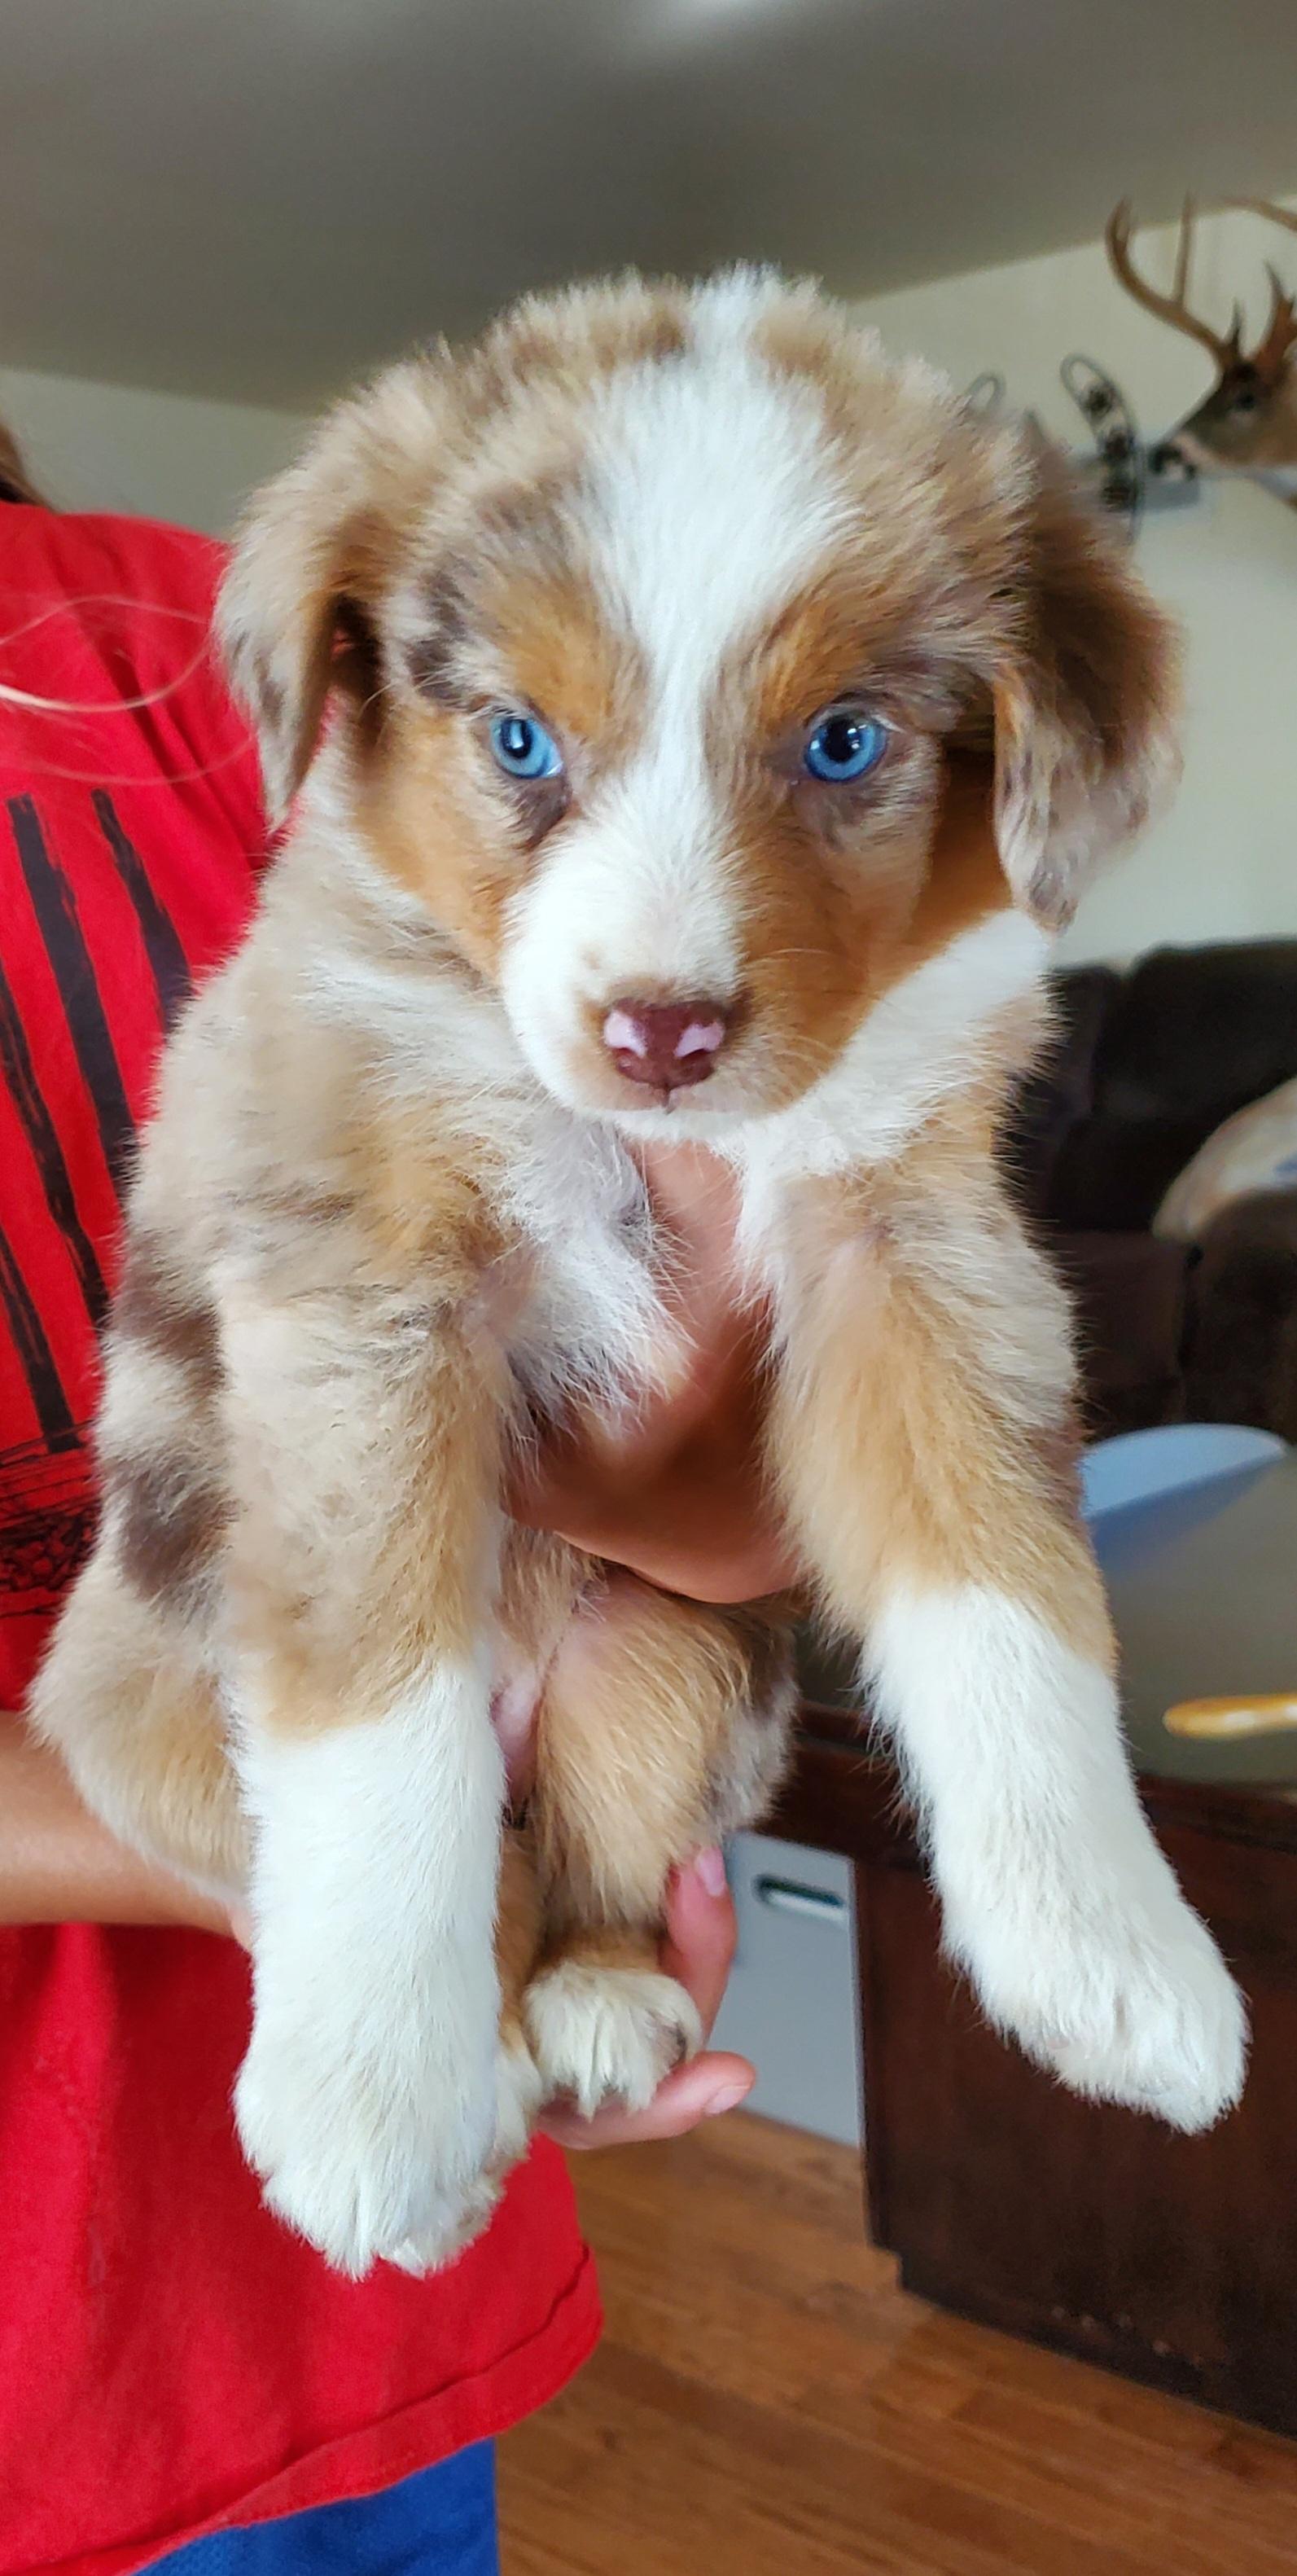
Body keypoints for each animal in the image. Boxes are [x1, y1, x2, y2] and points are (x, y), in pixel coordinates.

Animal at [32, 269, 1247, 2276]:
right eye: (518, 740)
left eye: (844, 742)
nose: (661, 1033)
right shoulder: (360, 1297)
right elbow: (379, 1702)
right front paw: (370, 2098)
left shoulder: (910, 1252)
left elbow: (1006, 1595)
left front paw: (1112, 1952)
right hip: (150, 1700)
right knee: (444, 1852)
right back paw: (465, 2077)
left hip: (672, 1655)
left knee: (577, 1855)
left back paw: (596, 2000)